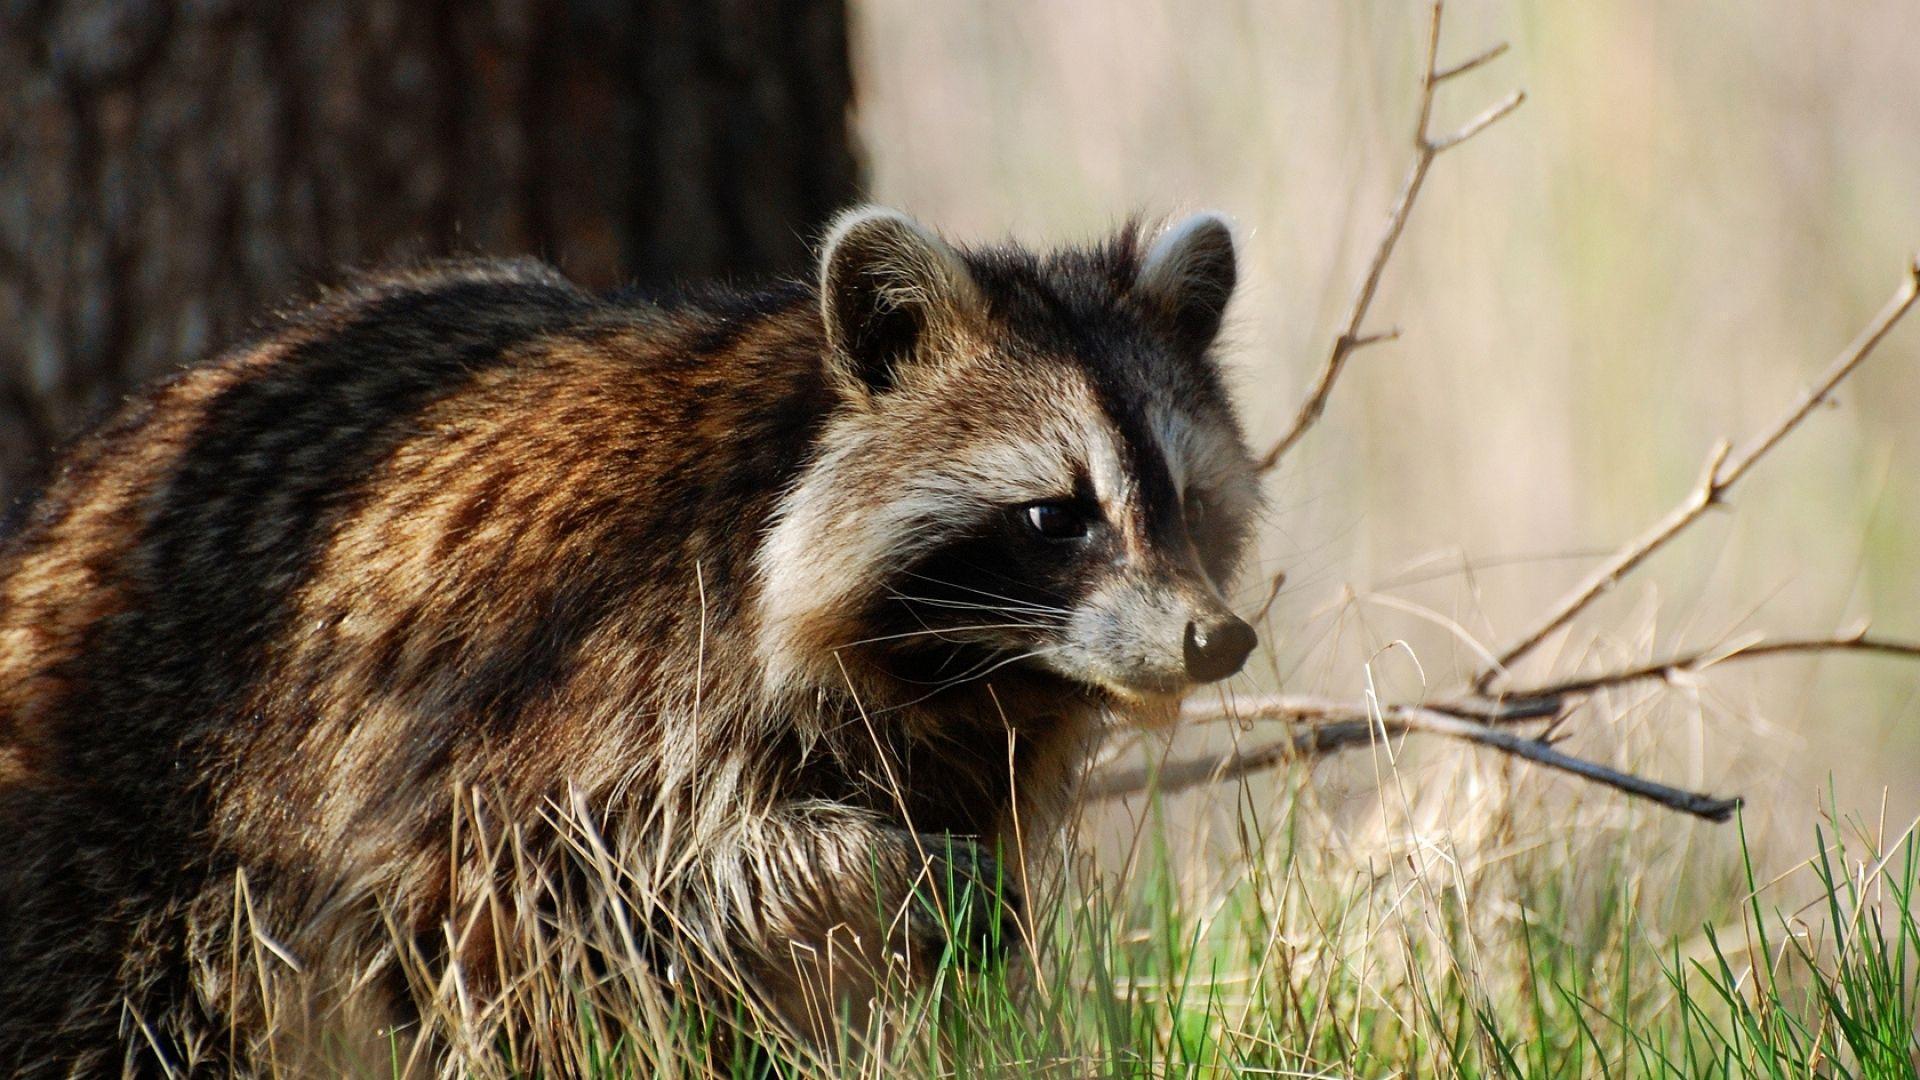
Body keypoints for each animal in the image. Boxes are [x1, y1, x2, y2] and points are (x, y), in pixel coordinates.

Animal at [0, 207, 1261, 1074]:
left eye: (1190, 506)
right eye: (1057, 517)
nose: (1219, 641)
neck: (963, 671)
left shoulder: (975, 748)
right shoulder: (582, 685)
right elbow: (570, 895)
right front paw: (883, 867)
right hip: (126, 838)